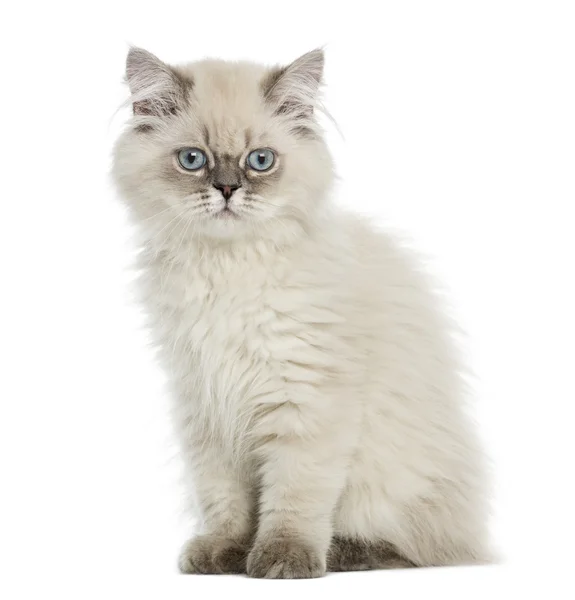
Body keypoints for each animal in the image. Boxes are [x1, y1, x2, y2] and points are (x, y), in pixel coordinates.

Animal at [112, 48, 490, 580]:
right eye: (192, 160)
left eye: (260, 161)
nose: (226, 189)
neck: (228, 270)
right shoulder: (206, 403)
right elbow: (223, 499)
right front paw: (224, 552)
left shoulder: (307, 402)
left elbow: (295, 497)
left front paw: (281, 560)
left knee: (412, 547)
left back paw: (343, 554)